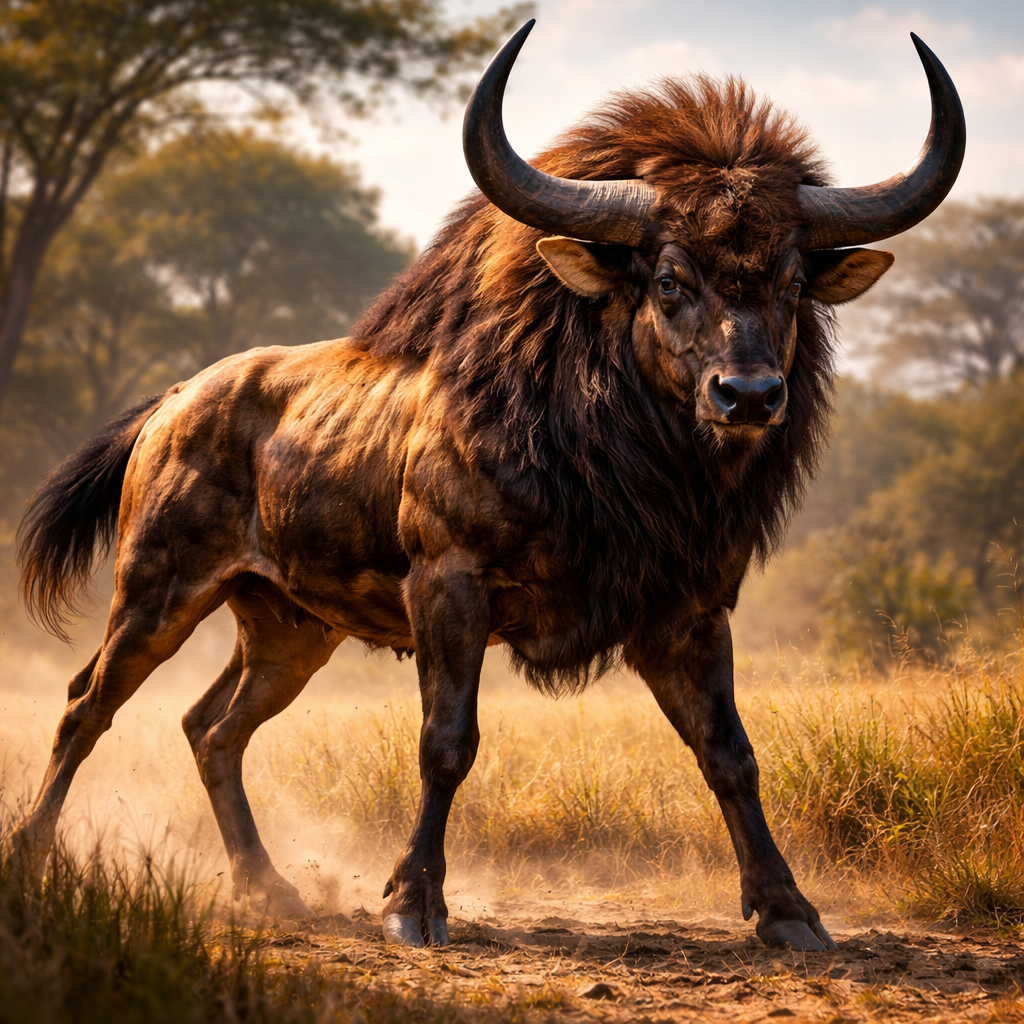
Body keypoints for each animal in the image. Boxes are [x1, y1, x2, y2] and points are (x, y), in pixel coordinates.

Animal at [10, 21, 964, 951]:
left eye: (793, 281)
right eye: (669, 279)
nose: (752, 396)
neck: (617, 460)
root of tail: (174, 401)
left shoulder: (688, 611)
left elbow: (729, 752)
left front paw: (788, 911)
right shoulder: (450, 586)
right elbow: (446, 743)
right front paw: (411, 902)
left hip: (288, 632)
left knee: (210, 728)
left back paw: (269, 888)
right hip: (158, 593)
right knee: (86, 706)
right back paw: (31, 856)